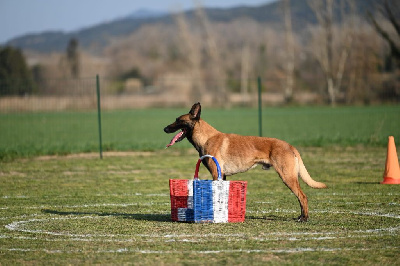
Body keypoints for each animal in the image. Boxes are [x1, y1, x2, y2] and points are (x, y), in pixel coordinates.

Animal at [164, 103, 326, 221]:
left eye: (178, 120)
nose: (164, 128)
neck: (206, 137)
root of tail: (290, 145)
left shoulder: (216, 174)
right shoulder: (222, 176)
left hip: (288, 177)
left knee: (302, 197)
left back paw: (304, 218)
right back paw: (301, 216)